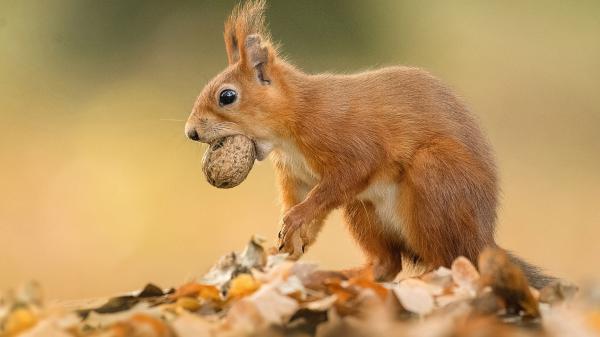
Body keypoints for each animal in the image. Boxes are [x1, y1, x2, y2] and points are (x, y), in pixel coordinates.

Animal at [184, 0, 552, 288]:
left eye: (227, 96)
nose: (191, 132)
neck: (294, 121)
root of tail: (483, 239)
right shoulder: (298, 175)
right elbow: (304, 199)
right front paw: (292, 238)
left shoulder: (347, 139)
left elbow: (345, 177)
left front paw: (296, 219)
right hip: (363, 211)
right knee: (389, 263)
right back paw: (342, 276)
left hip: (435, 181)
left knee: (448, 262)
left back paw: (424, 279)